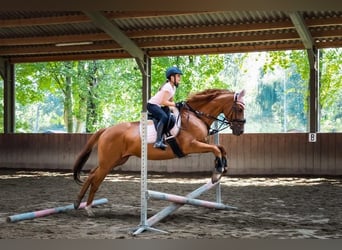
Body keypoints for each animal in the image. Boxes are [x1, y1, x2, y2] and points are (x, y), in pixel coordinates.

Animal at [73, 89, 246, 216]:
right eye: (239, 108)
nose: (240, 131)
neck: (196, 116)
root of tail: (106, 130)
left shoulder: (202, 142)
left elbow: (221, 148)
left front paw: (223, 166)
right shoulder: (191, 146)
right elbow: (216, 149)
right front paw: (217, 172)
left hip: (117, 160)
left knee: (92, 174)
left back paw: (78, 203)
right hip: (109, 161)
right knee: (96, 179)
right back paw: (87, 207)